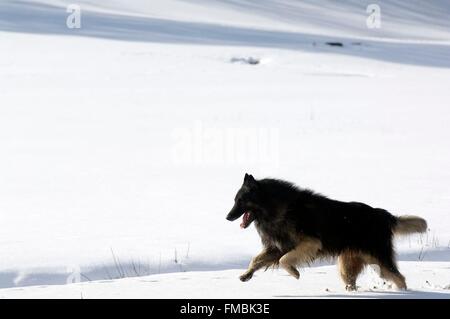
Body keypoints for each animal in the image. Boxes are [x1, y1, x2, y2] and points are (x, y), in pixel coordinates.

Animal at [227, 174, 428, 292]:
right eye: (235, 200)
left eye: (241, 200)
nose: (227, 217)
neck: (276, 207)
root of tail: (384, 215)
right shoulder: (277, 247)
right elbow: (257, 259)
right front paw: (247, 274)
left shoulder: (310, 243)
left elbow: (285, 260)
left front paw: (294, 273)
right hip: (348, 263)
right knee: (352, 280)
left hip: (378, 259)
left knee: (399, 277)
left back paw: (402, 292)